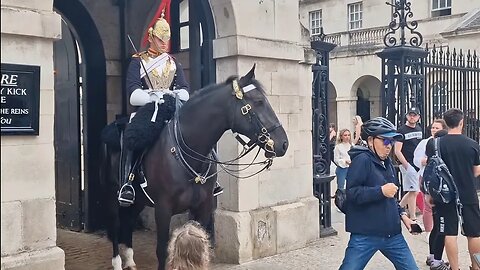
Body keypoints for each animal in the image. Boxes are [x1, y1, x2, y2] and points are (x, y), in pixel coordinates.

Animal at [102, 66, 286, 270]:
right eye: (259, 102)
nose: (283, 144)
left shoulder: (203, 207)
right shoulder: (163, 209)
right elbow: (162, 251)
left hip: (139, 201)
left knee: (128, 223)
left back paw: (130, 260)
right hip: (112, 195)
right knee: (116, 226)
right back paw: (118, 262)